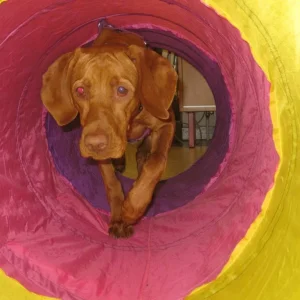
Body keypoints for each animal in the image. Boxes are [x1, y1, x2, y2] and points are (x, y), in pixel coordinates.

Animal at [42, 28, 178, 239]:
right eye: (80, 90)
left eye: (122, 90)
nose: (94, 144)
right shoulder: (102, 153)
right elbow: (111, 183)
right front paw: (119, 217)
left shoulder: (167, 124)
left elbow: (156, 162)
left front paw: (133, 207)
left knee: (143, 156)